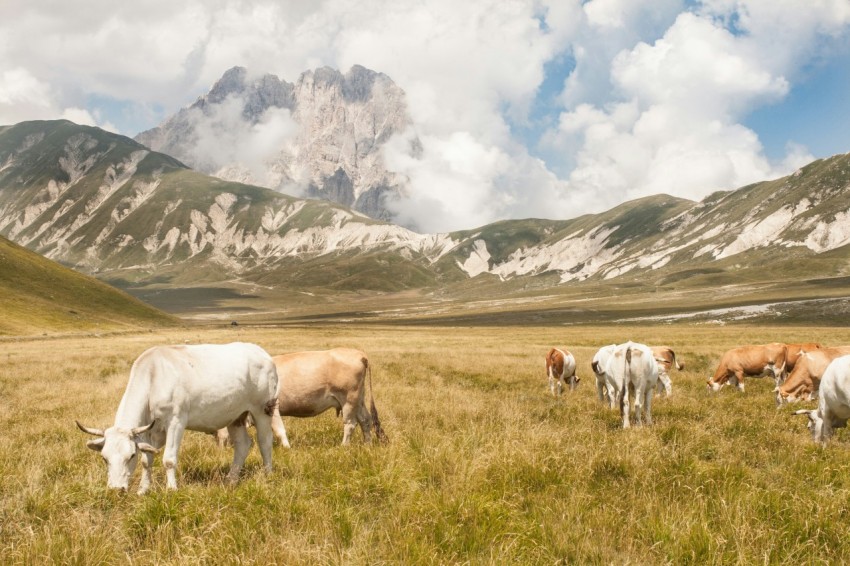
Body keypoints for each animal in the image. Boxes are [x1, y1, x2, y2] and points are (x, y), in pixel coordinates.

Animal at [76, 342, 280, 494]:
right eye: (104, 458)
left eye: (130, 455)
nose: (116, 489)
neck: (153, 378)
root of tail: (262, 353)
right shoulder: (149, 430)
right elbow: (147, 460)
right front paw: (143, 490)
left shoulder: (175, 422)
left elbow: (169, 459)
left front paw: (172, 489)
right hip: (235, 416)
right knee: (243, 444)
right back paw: (231, 479)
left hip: (262, 410)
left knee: (264, 441)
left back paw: (268, 475)